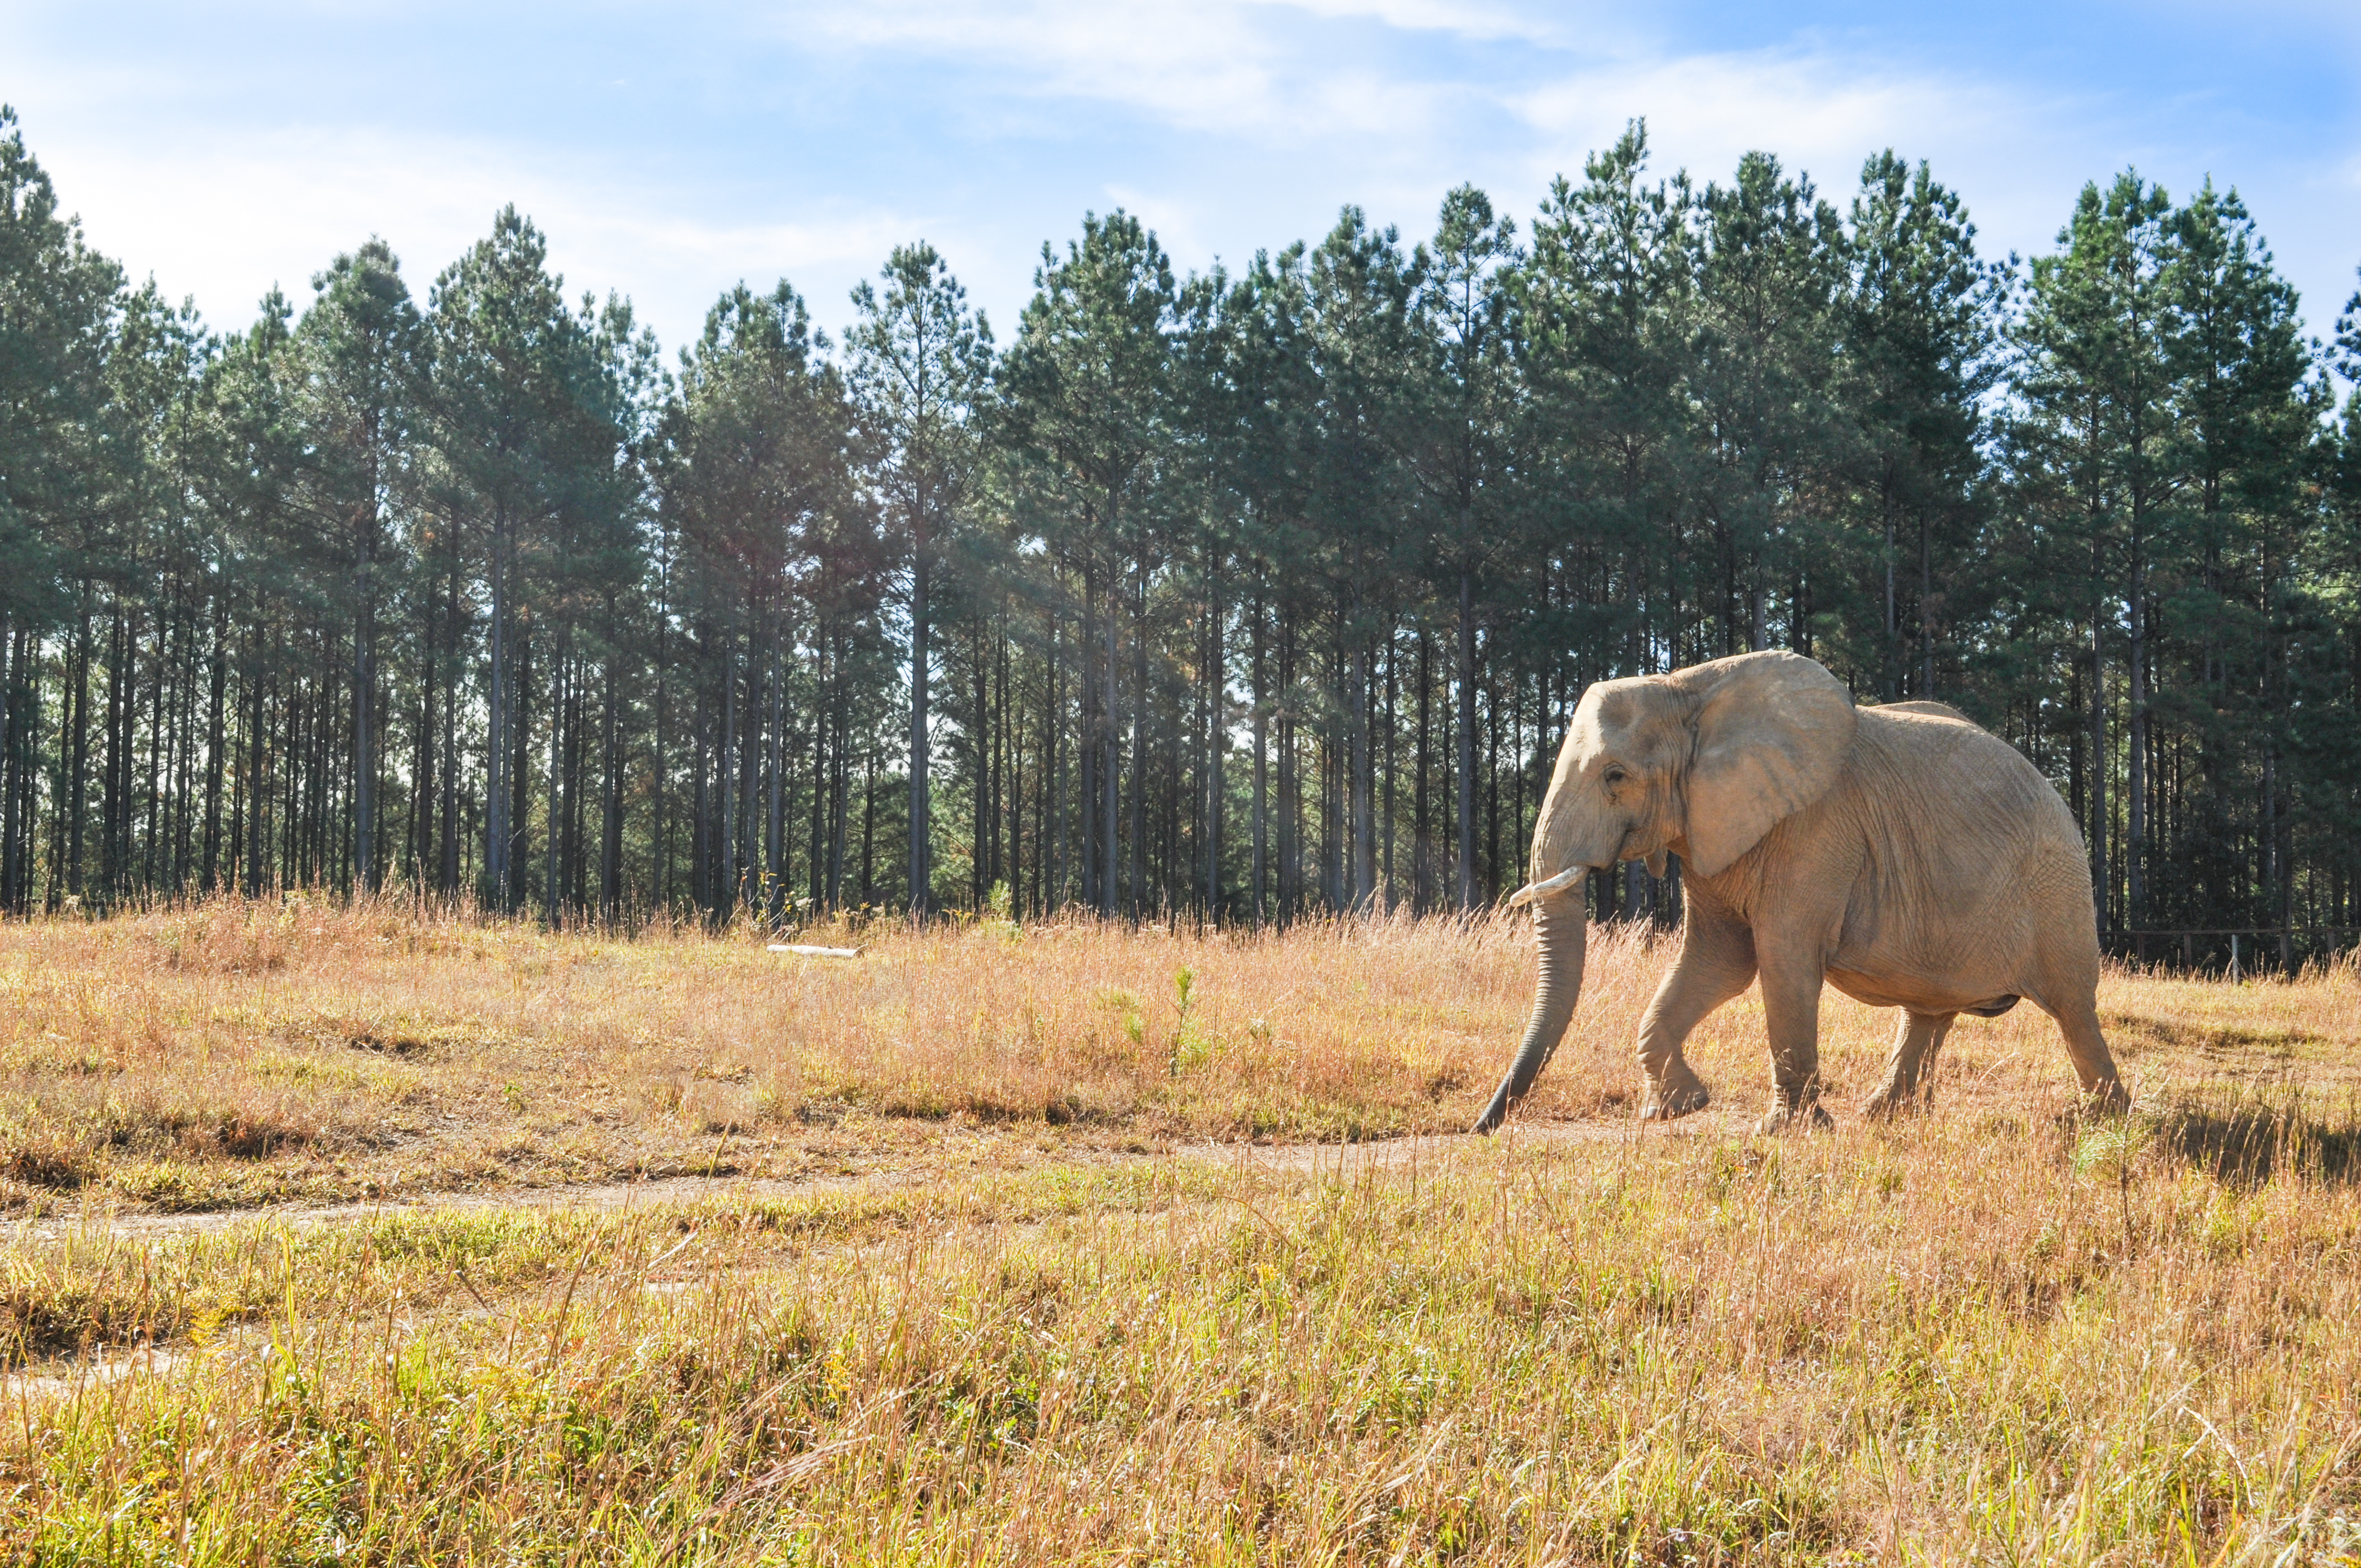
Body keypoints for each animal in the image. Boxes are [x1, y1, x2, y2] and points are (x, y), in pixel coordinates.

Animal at [1474, 649, 2126, 1135]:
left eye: (1616, 777)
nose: (1481, 1127)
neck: (1688, 688)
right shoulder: (1713, 831)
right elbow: (1718, 962)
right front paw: (1678, 1107)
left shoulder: (1815, 828)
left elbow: (1782, 960)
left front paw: (1788, 1131)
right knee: (1930, 1011)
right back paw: (1884, 1118)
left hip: (2056, 885)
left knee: (2073, 1009)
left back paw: (2103, 1121)